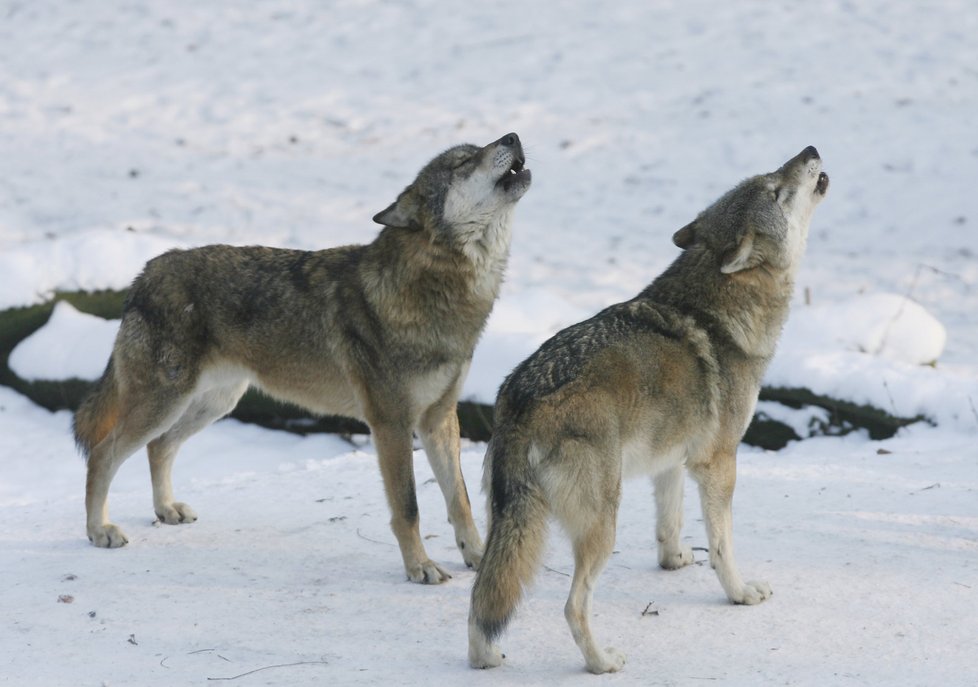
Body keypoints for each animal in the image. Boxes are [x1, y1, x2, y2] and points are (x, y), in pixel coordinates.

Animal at [74, 132, 532, 584]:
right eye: (463, 162)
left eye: (478, 149)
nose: (513, 136)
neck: (435, 288)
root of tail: (145, 273)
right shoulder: (391, 424)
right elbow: (408, 508)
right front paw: (420, 567)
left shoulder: (439, 419)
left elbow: (460, 500)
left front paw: (477, 557)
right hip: (165, 404)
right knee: (102, 453)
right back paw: (100, 531)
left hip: (212, 404)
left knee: (159, 447)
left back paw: (166, 510)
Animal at [466, 146, 824, 672]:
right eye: (777, 191)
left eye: (774, 176)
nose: (811, 151)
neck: (721, 307)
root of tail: (521, 397)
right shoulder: (718, 464)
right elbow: (723, 545)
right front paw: (740, 593)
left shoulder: (671, 458)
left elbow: (669, 522)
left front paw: (674, 562)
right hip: (602, 525)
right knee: (573, 605)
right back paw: (601, 662)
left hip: (507, 524)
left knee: (483, 594)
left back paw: (485, 656)